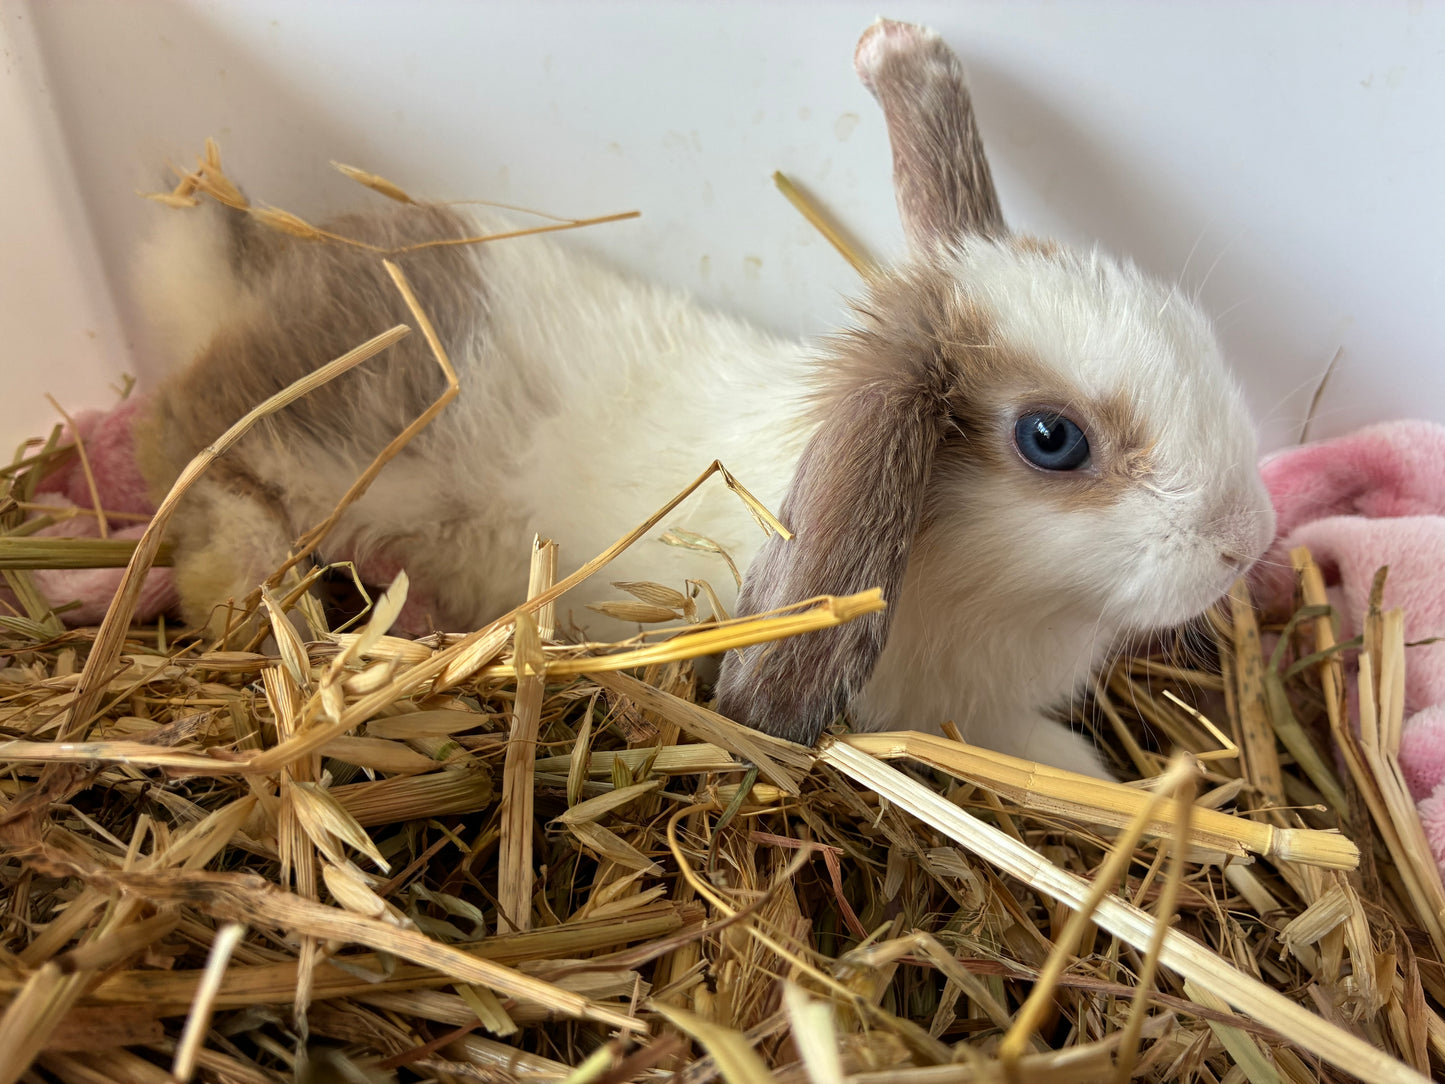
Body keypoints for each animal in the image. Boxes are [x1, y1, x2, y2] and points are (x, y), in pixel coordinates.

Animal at [133, 18, 1275, 779]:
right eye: (1050, 437)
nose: (1247, 540)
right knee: (198, 457)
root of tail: (241, 268)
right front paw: (1083, 773)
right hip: (316, 441)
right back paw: (250, 600)